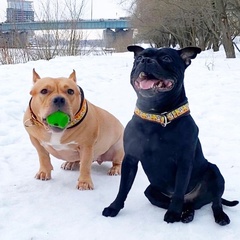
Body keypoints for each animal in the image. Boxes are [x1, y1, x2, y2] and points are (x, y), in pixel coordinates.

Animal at [102, 45, 238, 225]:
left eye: (166, 58)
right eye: (139, 59)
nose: (146, 60)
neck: (158, 116)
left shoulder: (184, 161)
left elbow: (179, 190)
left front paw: (173, 213)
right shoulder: (130, 158)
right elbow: (123, 187)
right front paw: (114, 207)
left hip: (215, 172)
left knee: (215, 201)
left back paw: (218, 216)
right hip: (151, 191)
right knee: (188, 205)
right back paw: (187, 214)